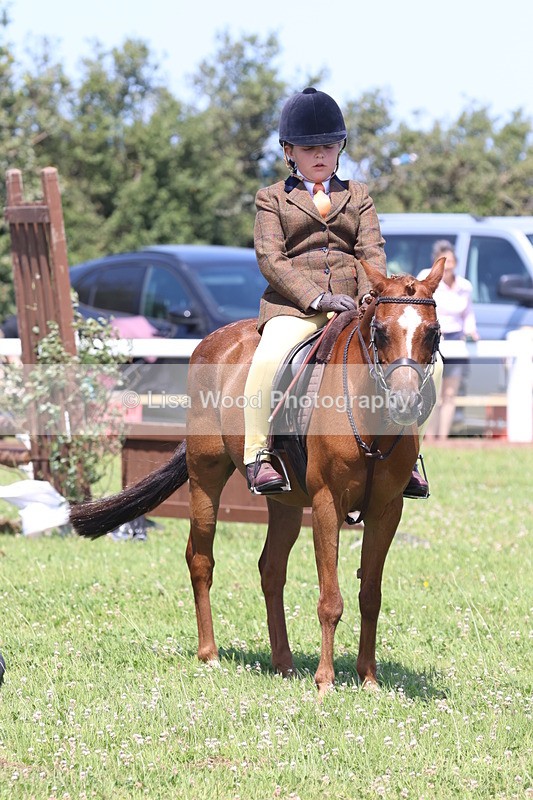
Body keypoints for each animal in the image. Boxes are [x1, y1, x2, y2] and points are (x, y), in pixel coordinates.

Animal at [70, 258, 444, 694]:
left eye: (433, 333)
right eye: (380, 331)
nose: (406, 403)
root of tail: (215, 339)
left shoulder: (387, 509)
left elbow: (370, 594)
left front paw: (368, 677)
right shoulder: (326, 504)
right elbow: (330, 600)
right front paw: (325, 681)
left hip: (285, 502)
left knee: (271, 570)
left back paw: (283, 662)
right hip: (206, 477)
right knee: (200, 559)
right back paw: (210, 654)